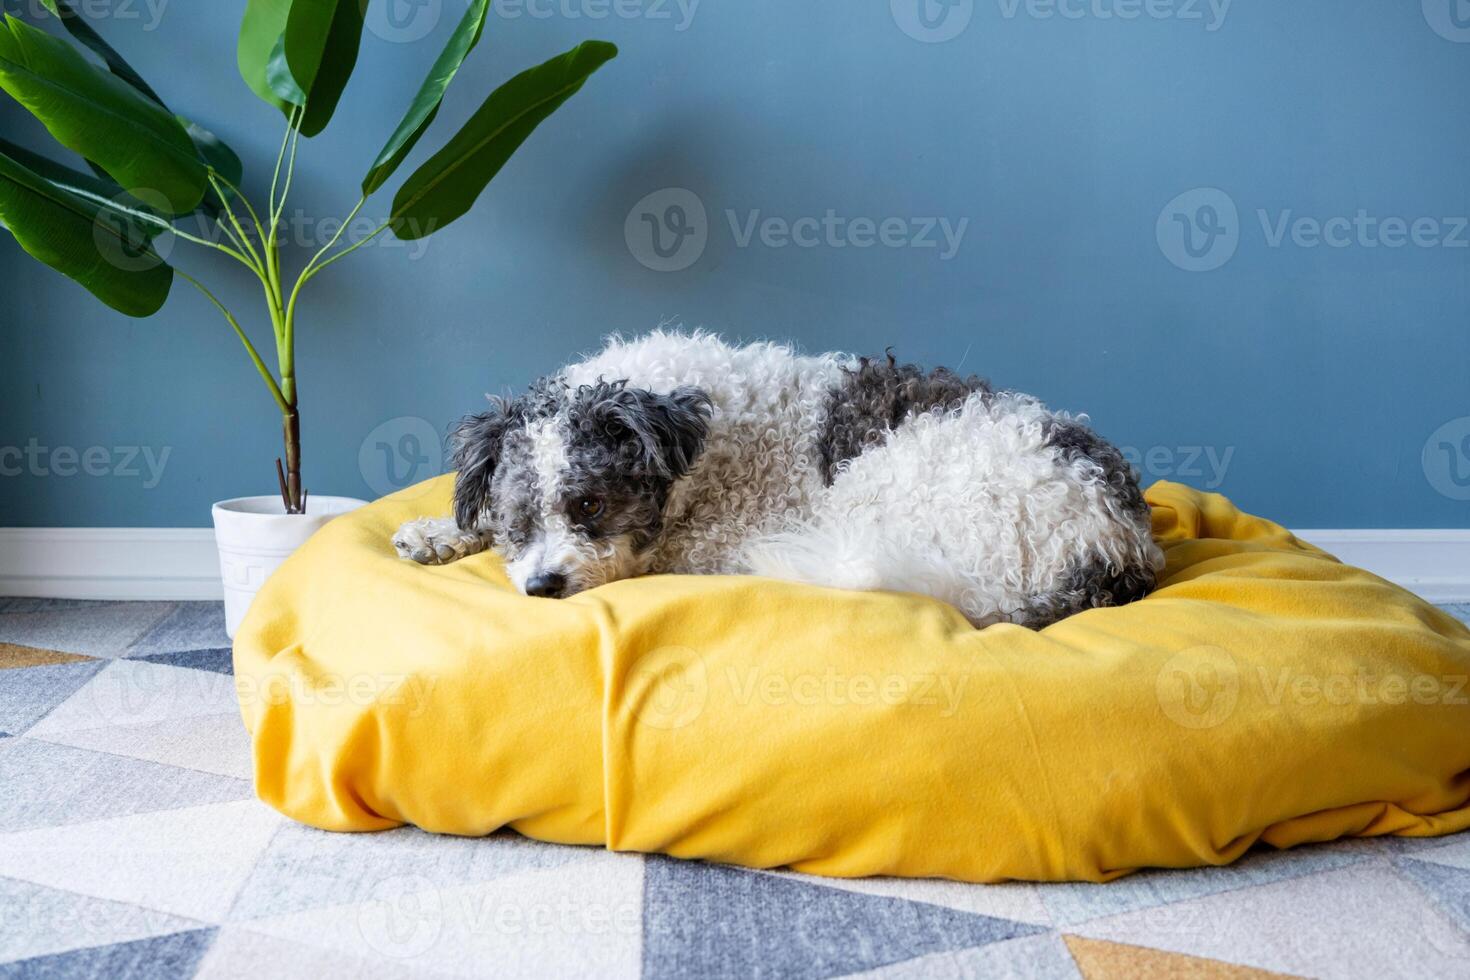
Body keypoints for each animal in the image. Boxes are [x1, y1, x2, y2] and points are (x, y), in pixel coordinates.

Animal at [391, 332, 1158, 628]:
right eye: (517, 522)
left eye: (591, 504)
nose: (542, 587)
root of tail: (1115, 546)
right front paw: (437, 532)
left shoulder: (709, 537)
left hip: (891, 489)